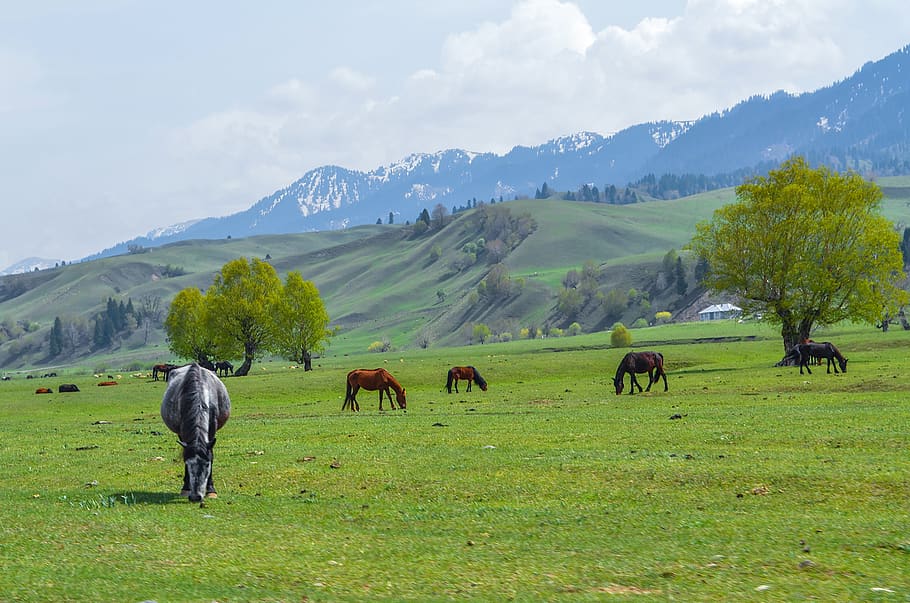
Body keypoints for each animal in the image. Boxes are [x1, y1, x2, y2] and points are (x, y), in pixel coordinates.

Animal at [160, 363, 231, 502]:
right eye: (188, 464)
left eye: (207, 465)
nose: (195, 497)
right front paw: (185, 488)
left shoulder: (212, 428)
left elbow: (211, 454)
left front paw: (211, 490)